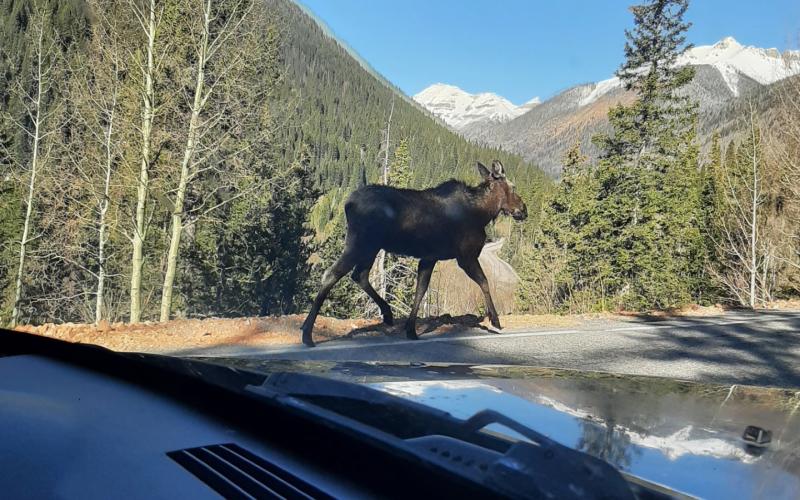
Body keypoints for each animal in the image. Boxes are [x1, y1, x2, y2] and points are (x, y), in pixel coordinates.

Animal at [301, 160, 527, 347]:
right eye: (513, 187)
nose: (523, 210)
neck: (482, 213)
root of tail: (347, 203)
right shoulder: (465, 256)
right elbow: (484, 282)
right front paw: (495, 320)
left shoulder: (429, 257)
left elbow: (421, 289)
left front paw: (410, 329)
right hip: (359, 244)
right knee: (332, 274)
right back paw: (307, 334)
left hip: (371, 247)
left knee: (359, 274)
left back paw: (387, 314)